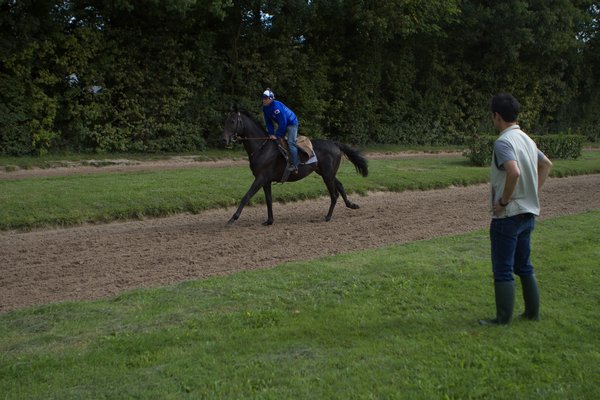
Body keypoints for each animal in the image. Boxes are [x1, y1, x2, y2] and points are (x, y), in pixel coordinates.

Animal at [223, 105, 368, 225]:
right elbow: (269, 200)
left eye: (232, 121)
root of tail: (335, 144)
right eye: (226, 121)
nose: (224, 139)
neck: (262, 148)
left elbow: (246, 196)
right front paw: (269, 220)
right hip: (326, 173)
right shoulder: (266, 181)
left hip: (327, 174)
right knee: (341, 186)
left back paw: (328, 216)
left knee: (334, 194)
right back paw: (351, 205)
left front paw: (232, 218)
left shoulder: (260, 178)